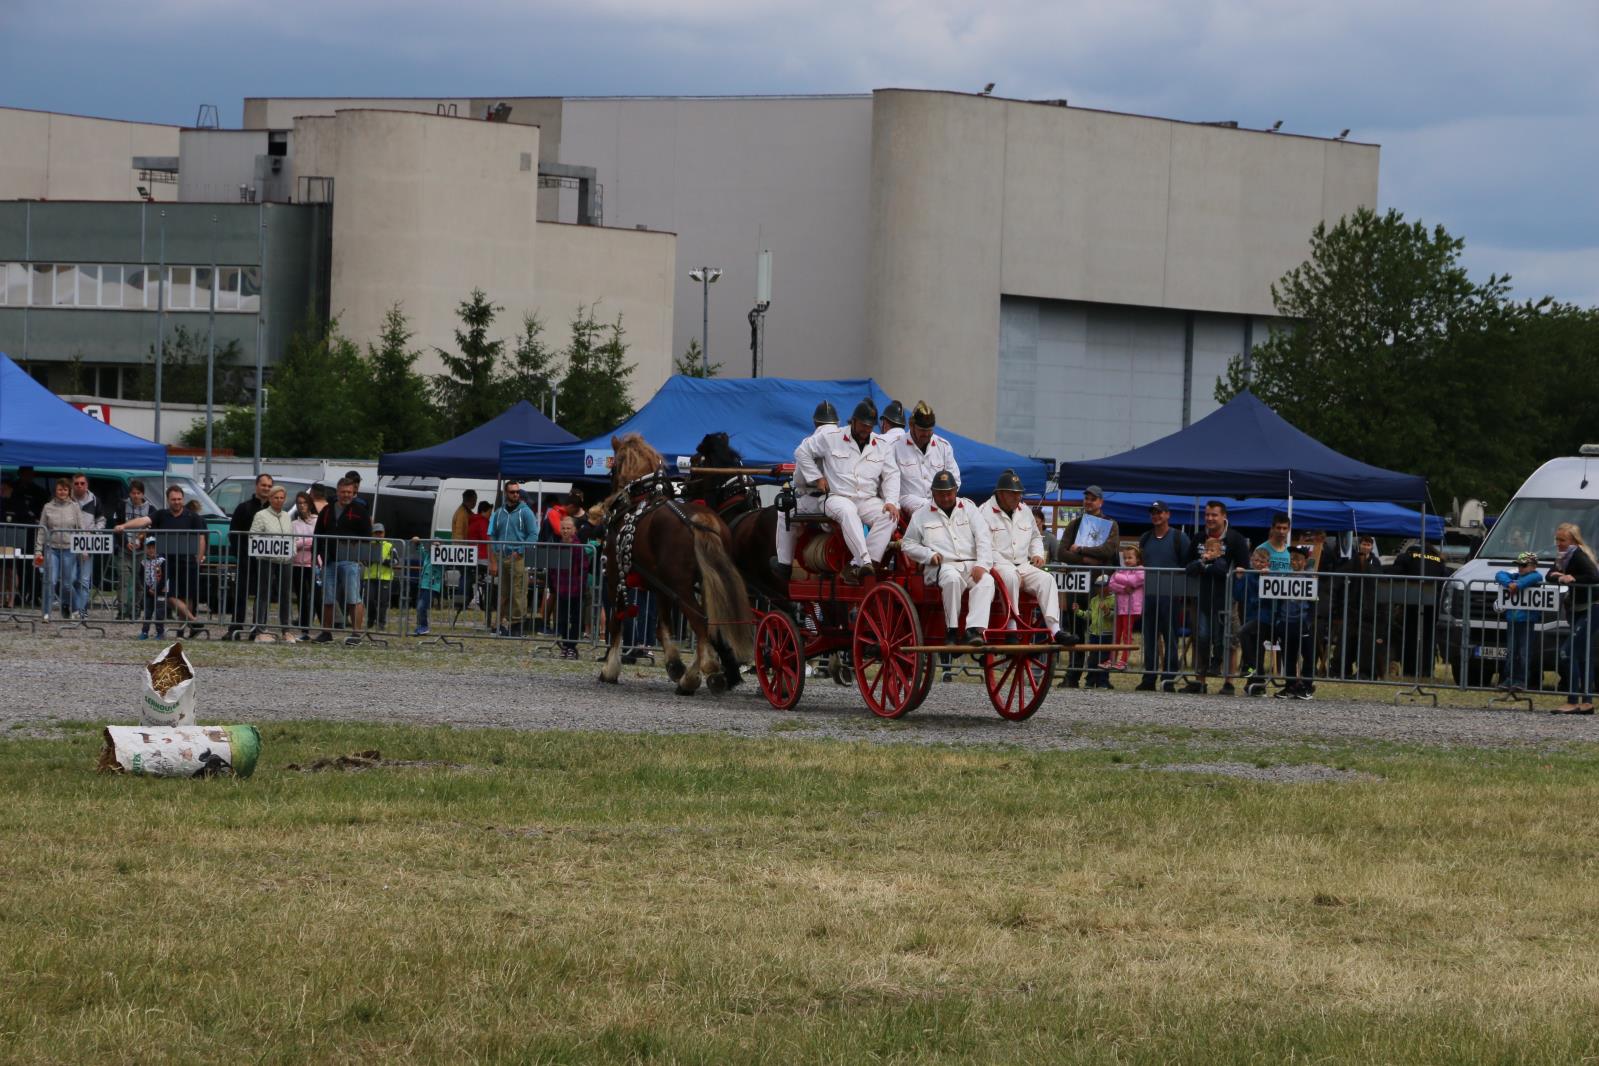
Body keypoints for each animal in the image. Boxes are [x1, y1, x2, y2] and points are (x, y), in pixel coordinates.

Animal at [601, 434, 754, 696]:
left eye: (613, 466)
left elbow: (617, 621)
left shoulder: (614, 575)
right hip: (703, 582)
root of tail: (702, 519)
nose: (612, 496)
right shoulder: (661, 587)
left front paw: (610, 668)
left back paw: (704, 672)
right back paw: (700, 675)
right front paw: (674, 665)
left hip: (681, 586)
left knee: (701, 621)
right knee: (710, 625)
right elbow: (663, 626)